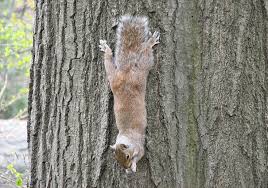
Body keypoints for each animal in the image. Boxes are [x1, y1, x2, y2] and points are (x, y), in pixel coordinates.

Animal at [100, 15, 159, 173]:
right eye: (116, 158)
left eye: (126, 156)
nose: (125, 167)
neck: (126, 135)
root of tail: (126, 72)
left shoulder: (139, 146)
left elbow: (141, 154)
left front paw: (133, 166)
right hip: (114, 79)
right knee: (108, 64)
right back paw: (106, 50)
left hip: (141, 72)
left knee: (146, 54)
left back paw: (151, 42)